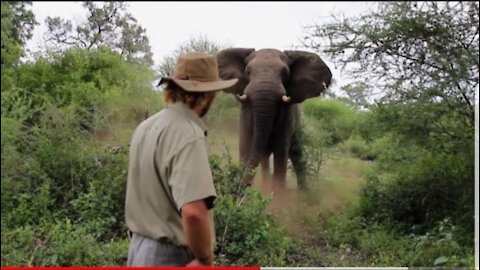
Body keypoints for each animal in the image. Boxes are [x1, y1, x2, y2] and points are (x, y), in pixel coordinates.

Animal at [218, 47, 334, 189]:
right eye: (248, 71)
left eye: (285, 73)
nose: (242, 185)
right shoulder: (245, 110)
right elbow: (245, 145)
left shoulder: (287, 115)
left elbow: (281, 152)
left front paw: (278, 194)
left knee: (297, 155)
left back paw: (304, 193)